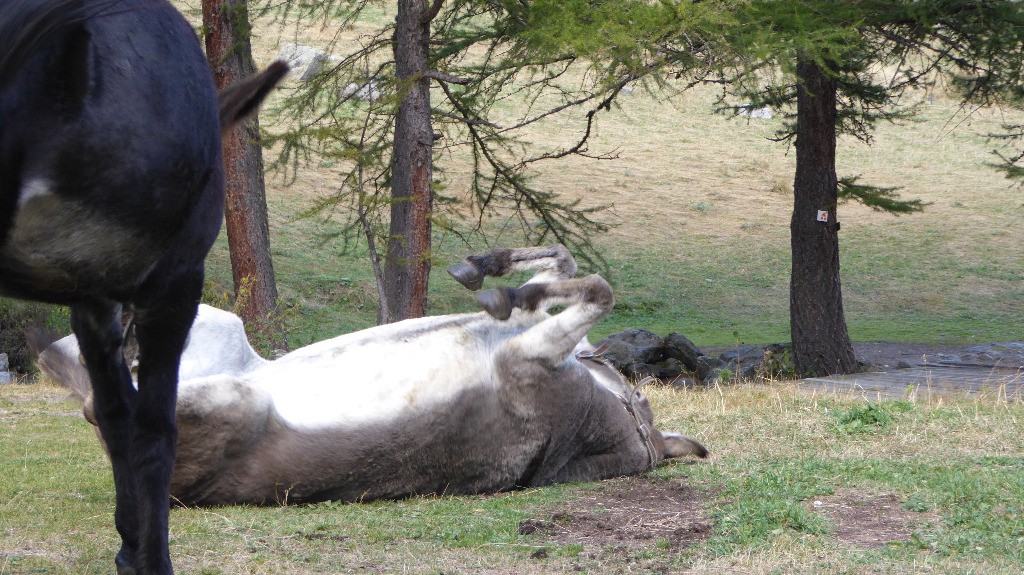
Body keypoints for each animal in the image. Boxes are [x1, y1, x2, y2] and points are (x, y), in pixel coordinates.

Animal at [1, 1, 284, 572]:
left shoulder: (93, 299)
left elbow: (116, 414)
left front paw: (131, 541)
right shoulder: (173, 285)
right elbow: (154, 430)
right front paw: (149, 555)